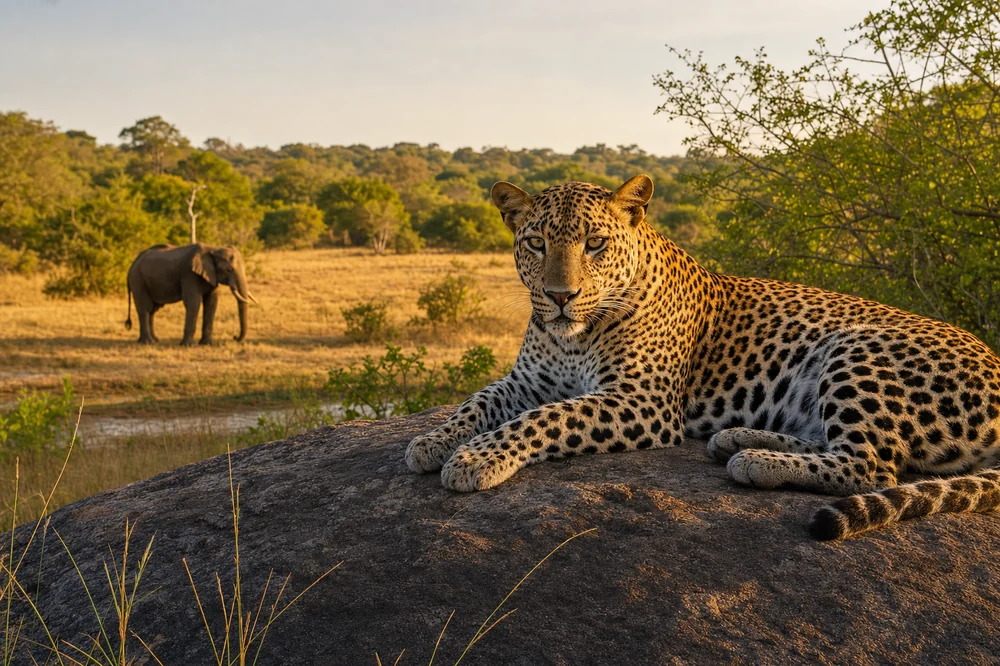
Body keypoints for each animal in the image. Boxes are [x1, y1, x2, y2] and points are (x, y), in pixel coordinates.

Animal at [405, 174, 1000, 540]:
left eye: (596, 244)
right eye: (535, 244)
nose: (559, 295)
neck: (573, 334)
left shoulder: (640, 401)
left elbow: (544, 419)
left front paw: (475, 459)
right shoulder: (528, 380)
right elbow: (477, 402)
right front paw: (430, 442)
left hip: (857, 347)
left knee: (873, 464)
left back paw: (754, 463)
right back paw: (737, 440)